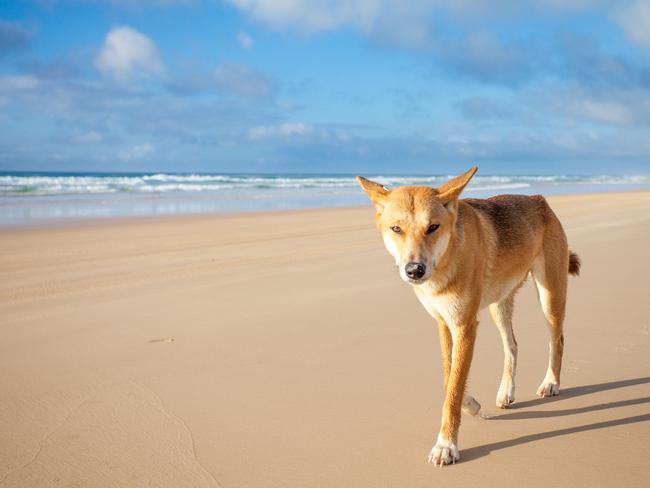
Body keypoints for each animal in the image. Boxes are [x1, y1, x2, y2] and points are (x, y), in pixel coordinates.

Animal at [356, 167, 580, 466]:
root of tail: (538, 198)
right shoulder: (444, 324)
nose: (414, 270)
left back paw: (551, 382)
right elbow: (449, 378)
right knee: (512, 346)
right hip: (499, 303)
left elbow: (453, 387)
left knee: (558, 340)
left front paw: (446, 445)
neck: (447, 259)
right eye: (396, 229)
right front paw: (471, 403)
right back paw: (507, 391)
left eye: (433, 227)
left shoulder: (464, 325)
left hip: (549, 296)